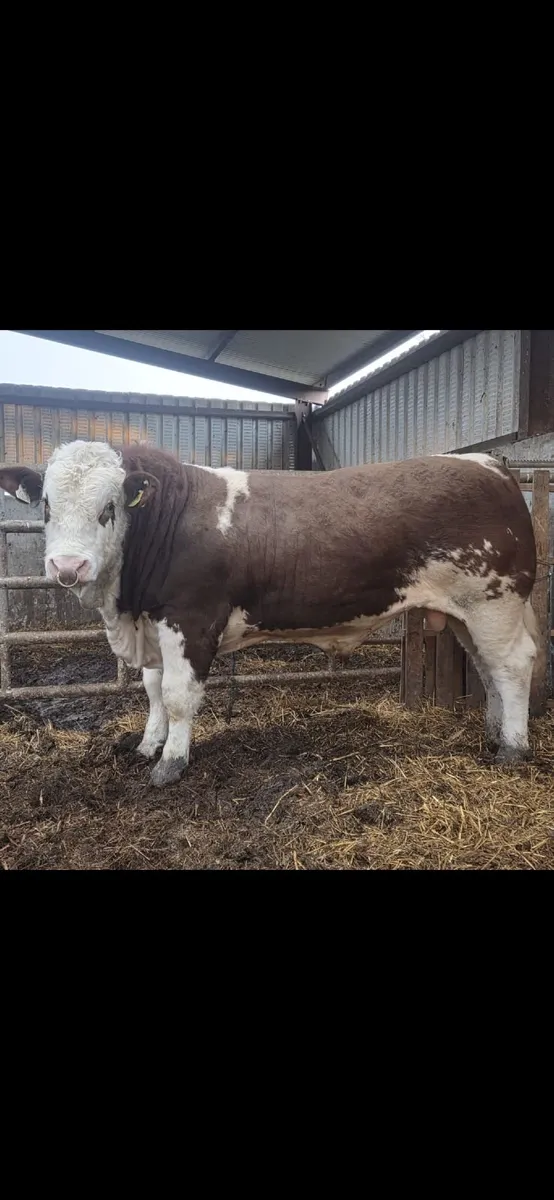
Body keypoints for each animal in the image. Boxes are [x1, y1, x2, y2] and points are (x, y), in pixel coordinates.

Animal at [0, 442, 542, 787]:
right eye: (45, 506)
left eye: (109, 507)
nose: (68, 566)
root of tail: (490, 464)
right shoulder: (154, 622)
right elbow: (152, 690)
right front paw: (147, 745)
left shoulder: (191, 619)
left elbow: (177, 696)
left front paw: (170, 763)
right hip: (467, 613)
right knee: (488, 670)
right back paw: (493, 733)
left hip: (494, 600)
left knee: (513, 665)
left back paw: (512, 748)